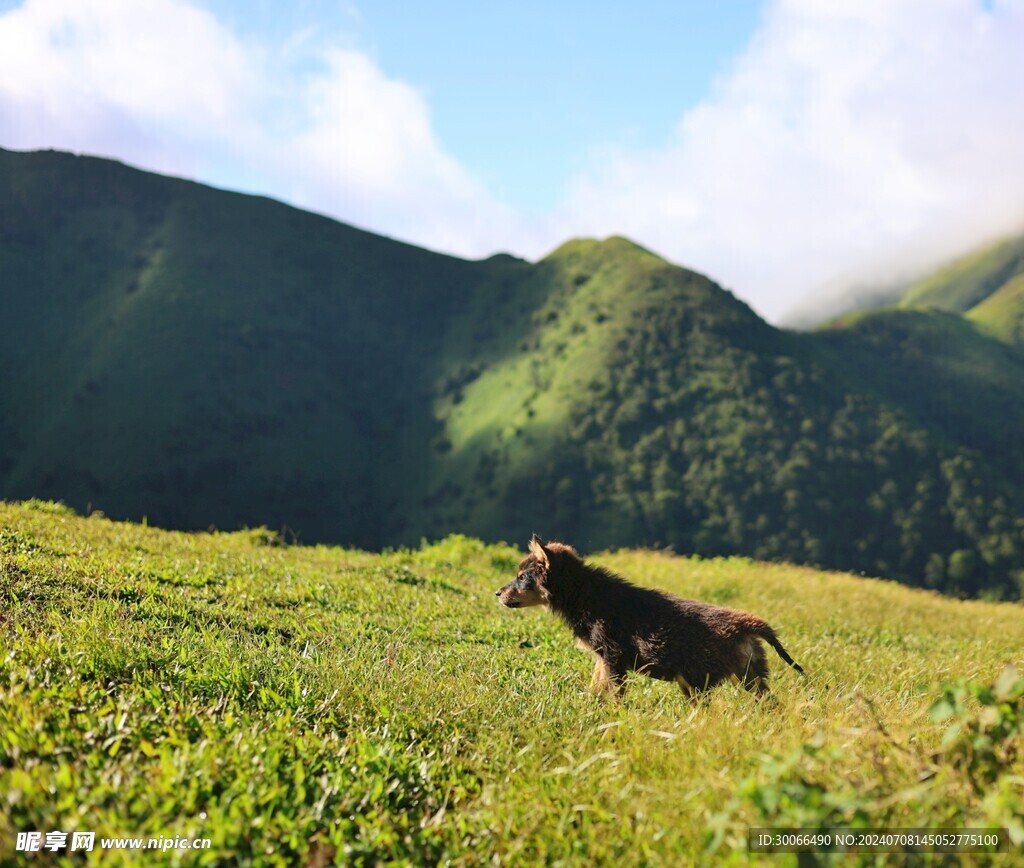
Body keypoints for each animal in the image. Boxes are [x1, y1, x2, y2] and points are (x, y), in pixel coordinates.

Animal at [495, 536, 798, 700]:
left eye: (522, 578)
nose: (497, 593)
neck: (583, 594)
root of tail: (749, 626)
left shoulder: (613, 657)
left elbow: (615, 695)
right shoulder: (601, 659)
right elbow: (595, 690)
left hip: (702, 682)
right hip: (747, 676)